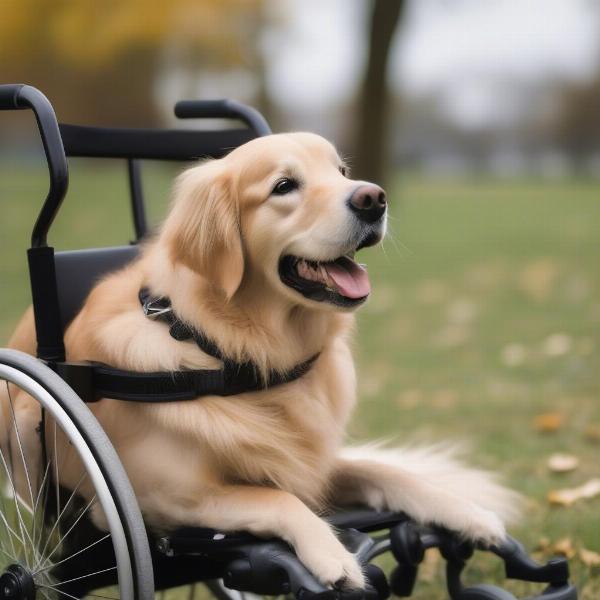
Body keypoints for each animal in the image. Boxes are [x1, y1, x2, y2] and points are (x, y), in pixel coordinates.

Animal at [4, 134, 516, 588]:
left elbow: (386, 472)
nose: (373, 198)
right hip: (27, 421)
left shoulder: (311, 464)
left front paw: (470, 514)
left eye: (341, 172)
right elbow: (278, 499)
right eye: (284, 186)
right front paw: (333, 555)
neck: (230, 352)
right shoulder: (166, 497)